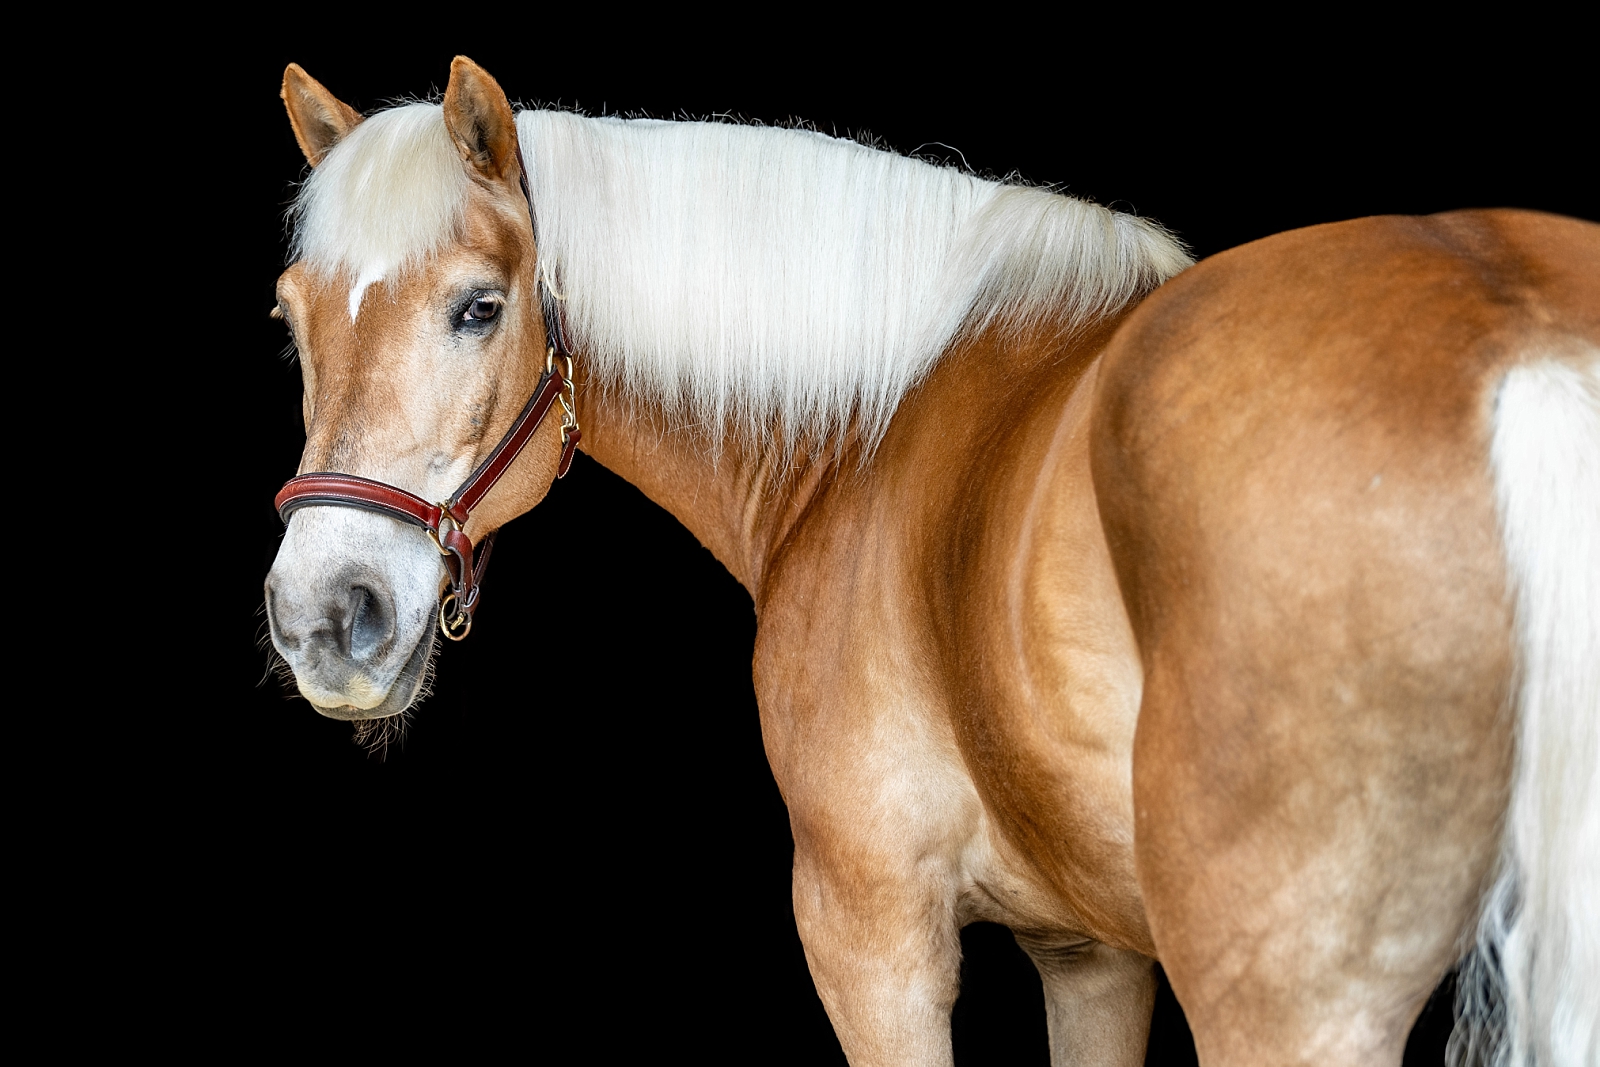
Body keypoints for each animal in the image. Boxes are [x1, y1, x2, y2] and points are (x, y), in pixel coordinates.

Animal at [256, 58, 1593, 1067]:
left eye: (479, 306)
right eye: (289, 314)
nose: (326, 613)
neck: (863, 432)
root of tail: (1513, 328)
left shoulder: (873, 935)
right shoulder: (1092, 953)